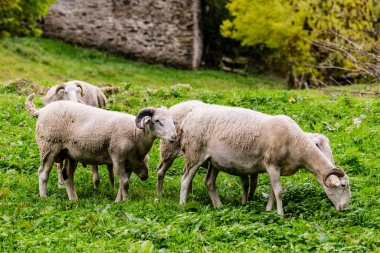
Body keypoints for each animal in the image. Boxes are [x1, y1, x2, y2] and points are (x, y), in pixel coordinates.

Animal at [25, 93, 177, 202]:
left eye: (172, 121)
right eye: (157, 121)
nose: (175, 137)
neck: (135, 133)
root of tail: (41, 110)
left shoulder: (128, 162)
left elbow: (123, 183)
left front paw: (118, 200)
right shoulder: (117, 157)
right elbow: (124, 182)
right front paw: (126, 201)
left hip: (69, 153)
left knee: (67, 175)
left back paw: (74, 199)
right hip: (49, 146)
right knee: (43, 173)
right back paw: (44, 197)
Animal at [178, 105, 350, 215]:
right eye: (342, 186)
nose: (345, 208)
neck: (297, 143)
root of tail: (190, 116)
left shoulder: (276, 168)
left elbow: (273, 191)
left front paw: (269, 210)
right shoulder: (272, 164)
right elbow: (279, 192)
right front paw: (281, 214)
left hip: (214, 161)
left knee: (209, 182)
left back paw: (218, 206)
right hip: (194, 154)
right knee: (185, 180)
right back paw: (183, 205)